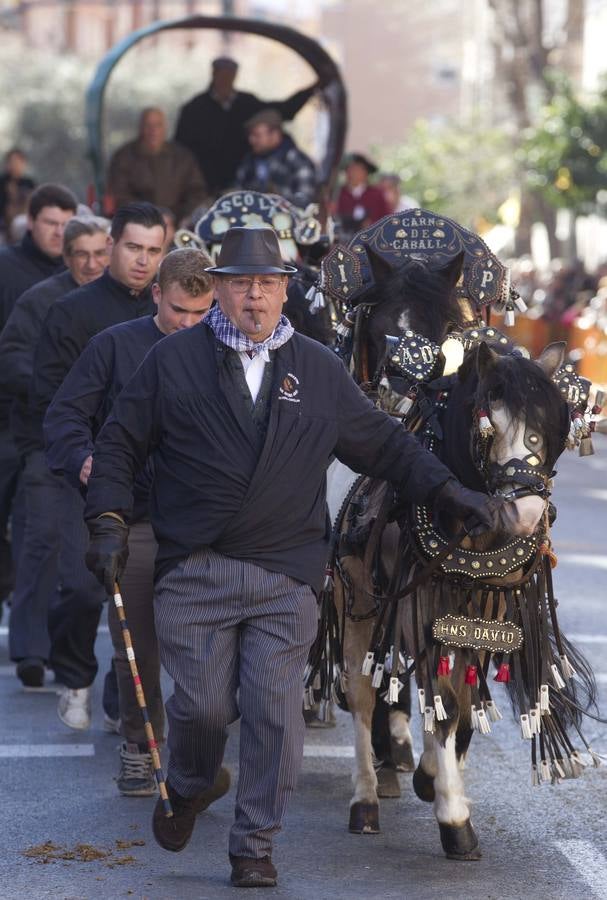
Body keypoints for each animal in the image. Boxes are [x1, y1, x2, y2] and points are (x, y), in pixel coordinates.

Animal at [318, 250, 600, 860]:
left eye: (553, 428)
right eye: (488, 422)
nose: (523, 512)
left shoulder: (485, 620)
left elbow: (463, 709)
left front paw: (433, 776)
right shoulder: (428, 609)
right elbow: (442, 706)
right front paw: (452, 815)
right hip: (359, 602)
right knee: (362, 695)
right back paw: (366, 798)